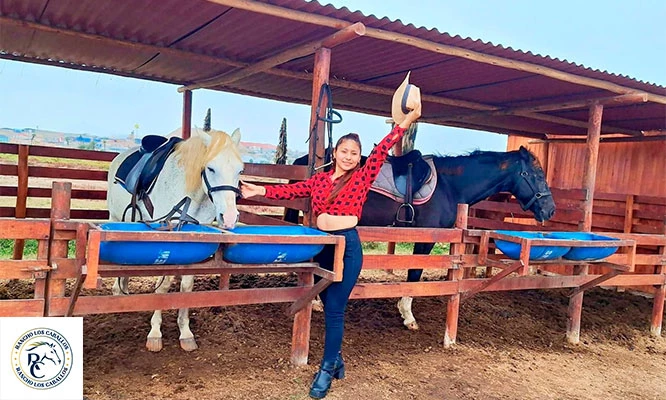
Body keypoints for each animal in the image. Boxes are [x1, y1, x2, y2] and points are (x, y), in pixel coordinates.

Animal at [107, 127, 244, 352]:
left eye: (240, 170)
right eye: (211, 168)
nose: (230, 217)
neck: (190, 194)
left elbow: (186, 286)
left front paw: (185, 332)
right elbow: (163, 286)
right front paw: (155, 333)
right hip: (115, 217)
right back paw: (118, 294)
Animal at [289, 146, 555, 330]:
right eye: (535, 175)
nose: (550, 209)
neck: (450, 185)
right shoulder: (427, 235)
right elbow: (415, 272)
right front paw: (407, 315)